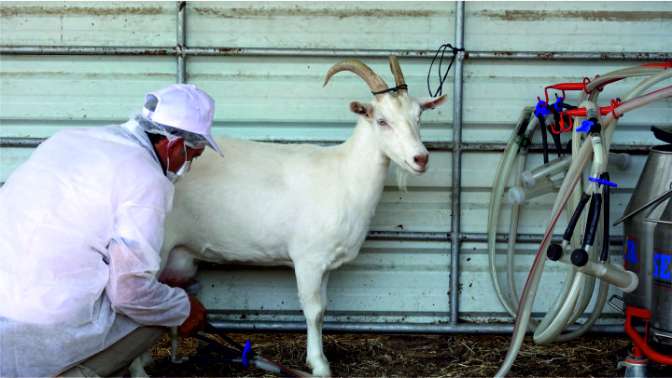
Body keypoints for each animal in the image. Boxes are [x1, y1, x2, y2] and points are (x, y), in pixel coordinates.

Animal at [159, 56, 446, 376]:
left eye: (419, 117)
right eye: (381, 120)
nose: (421, 158)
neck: (345, 175)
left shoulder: (326, 263)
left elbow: (323, 310)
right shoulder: (307, 259)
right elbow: (313, 310)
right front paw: (319, 365)